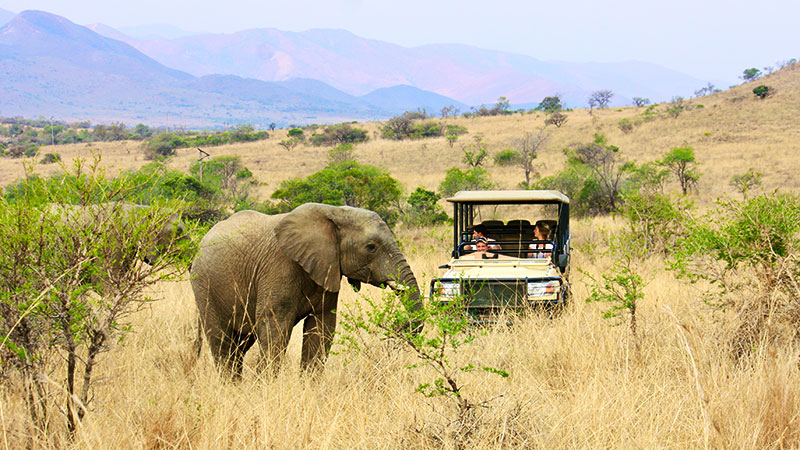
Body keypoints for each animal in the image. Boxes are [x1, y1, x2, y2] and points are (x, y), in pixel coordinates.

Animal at [191, 203, 424, 376]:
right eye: (371, 247)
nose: (397, 328)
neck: (334, 212)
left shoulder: (327, 269)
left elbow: (321, 328)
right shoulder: (278, 267)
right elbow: (274, 327)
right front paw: (266, 388)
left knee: (240, 344)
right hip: (204, 285)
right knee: (222, 343)